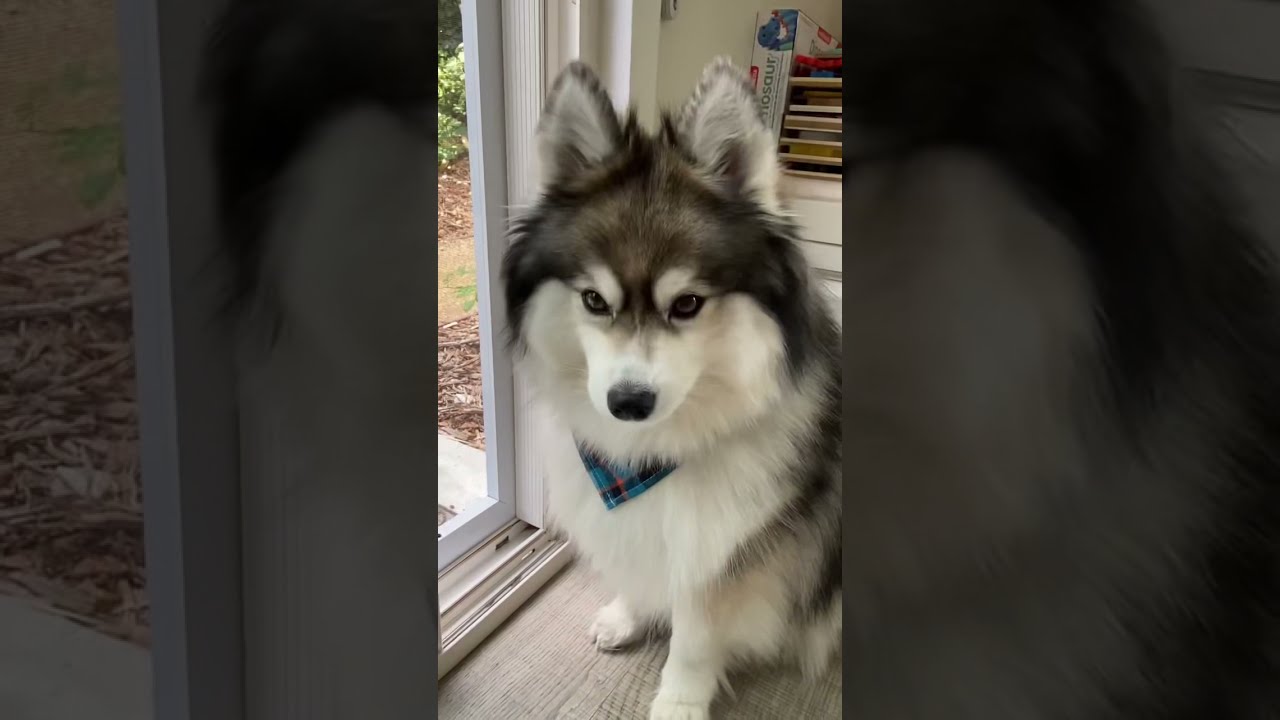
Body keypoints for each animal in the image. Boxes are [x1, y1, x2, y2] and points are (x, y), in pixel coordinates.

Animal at [503, 60, 843, 719]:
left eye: (687, 304)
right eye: (594, 300)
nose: (628, 403)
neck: (649, 458)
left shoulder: (729, 552)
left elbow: (694, 637)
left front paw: (679, 701)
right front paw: (628, 615)